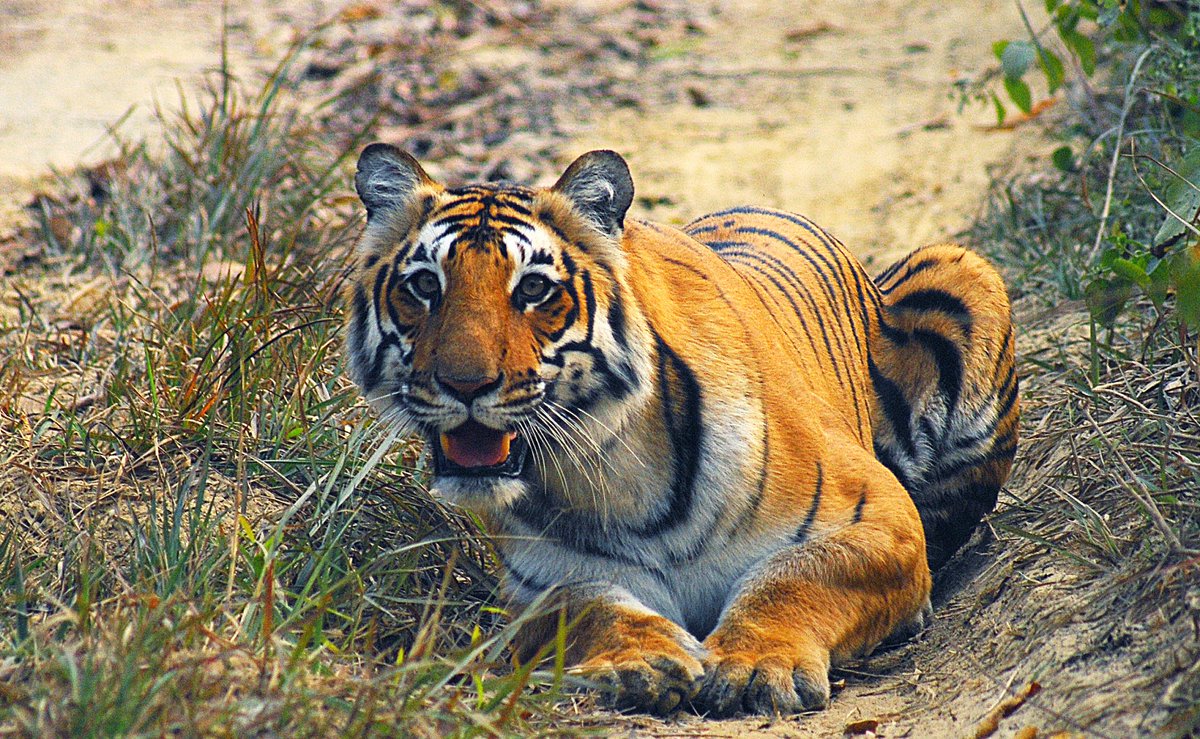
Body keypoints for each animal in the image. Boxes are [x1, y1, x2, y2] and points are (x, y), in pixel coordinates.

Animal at [344, 143, 1018, 717]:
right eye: (424, 286)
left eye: (533, 288)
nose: (464, 385)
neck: (611, 466)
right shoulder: (537, 585)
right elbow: (588, 607)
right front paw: (639, 661)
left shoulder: (879, 517)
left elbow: (798, 574)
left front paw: (754, 664)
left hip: (964, 271)